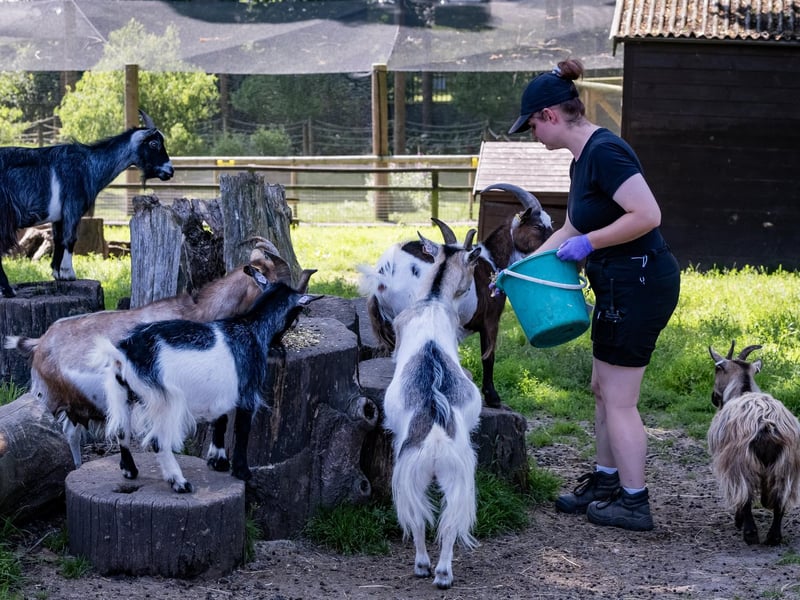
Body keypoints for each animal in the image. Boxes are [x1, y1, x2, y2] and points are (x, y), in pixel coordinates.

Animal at [0, 110, 174, 298]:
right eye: (154, 143)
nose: (170, 171)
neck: (89, 166)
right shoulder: (73, 206)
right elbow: (70, 238)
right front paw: (68, 274)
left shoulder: (59, 215)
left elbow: (58, 238)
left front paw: (57, 273)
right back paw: (8, 290)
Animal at [89, 268, 319, 493]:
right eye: (297, 311)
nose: (295, 327)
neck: (251, 327)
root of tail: (124, 353)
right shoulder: (248, 392)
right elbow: (242, 429)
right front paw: (242, 472)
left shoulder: (221, 391)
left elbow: (221, 420)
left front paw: (218, 461)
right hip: (165, 399)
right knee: (158, 440)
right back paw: (179, 482)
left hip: (121, 392)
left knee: (121, 431)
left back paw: (130, 470)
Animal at [360, 182, 553, 408]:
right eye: (538, 226)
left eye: (550, 222)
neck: (492, 260)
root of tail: (384, 273)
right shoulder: (491, 320)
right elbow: (488, 356)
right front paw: (493, 397)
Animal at [383, 231, 482, 590]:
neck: (432, 299)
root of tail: (437, 437)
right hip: (457, 476)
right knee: (448, 521)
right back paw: (442, 573)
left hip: (410, 475)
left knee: (419, 520)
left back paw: (427, 567)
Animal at [707, 341, 800, 545]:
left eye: (717, 370)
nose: (714, 398)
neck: (743, 390)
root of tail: (765, 423)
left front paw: (739, 520)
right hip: (787, 466)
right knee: (780, 498)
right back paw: (773, 536)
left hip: (739, 462)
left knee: (745, 496)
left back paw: (749, 533)